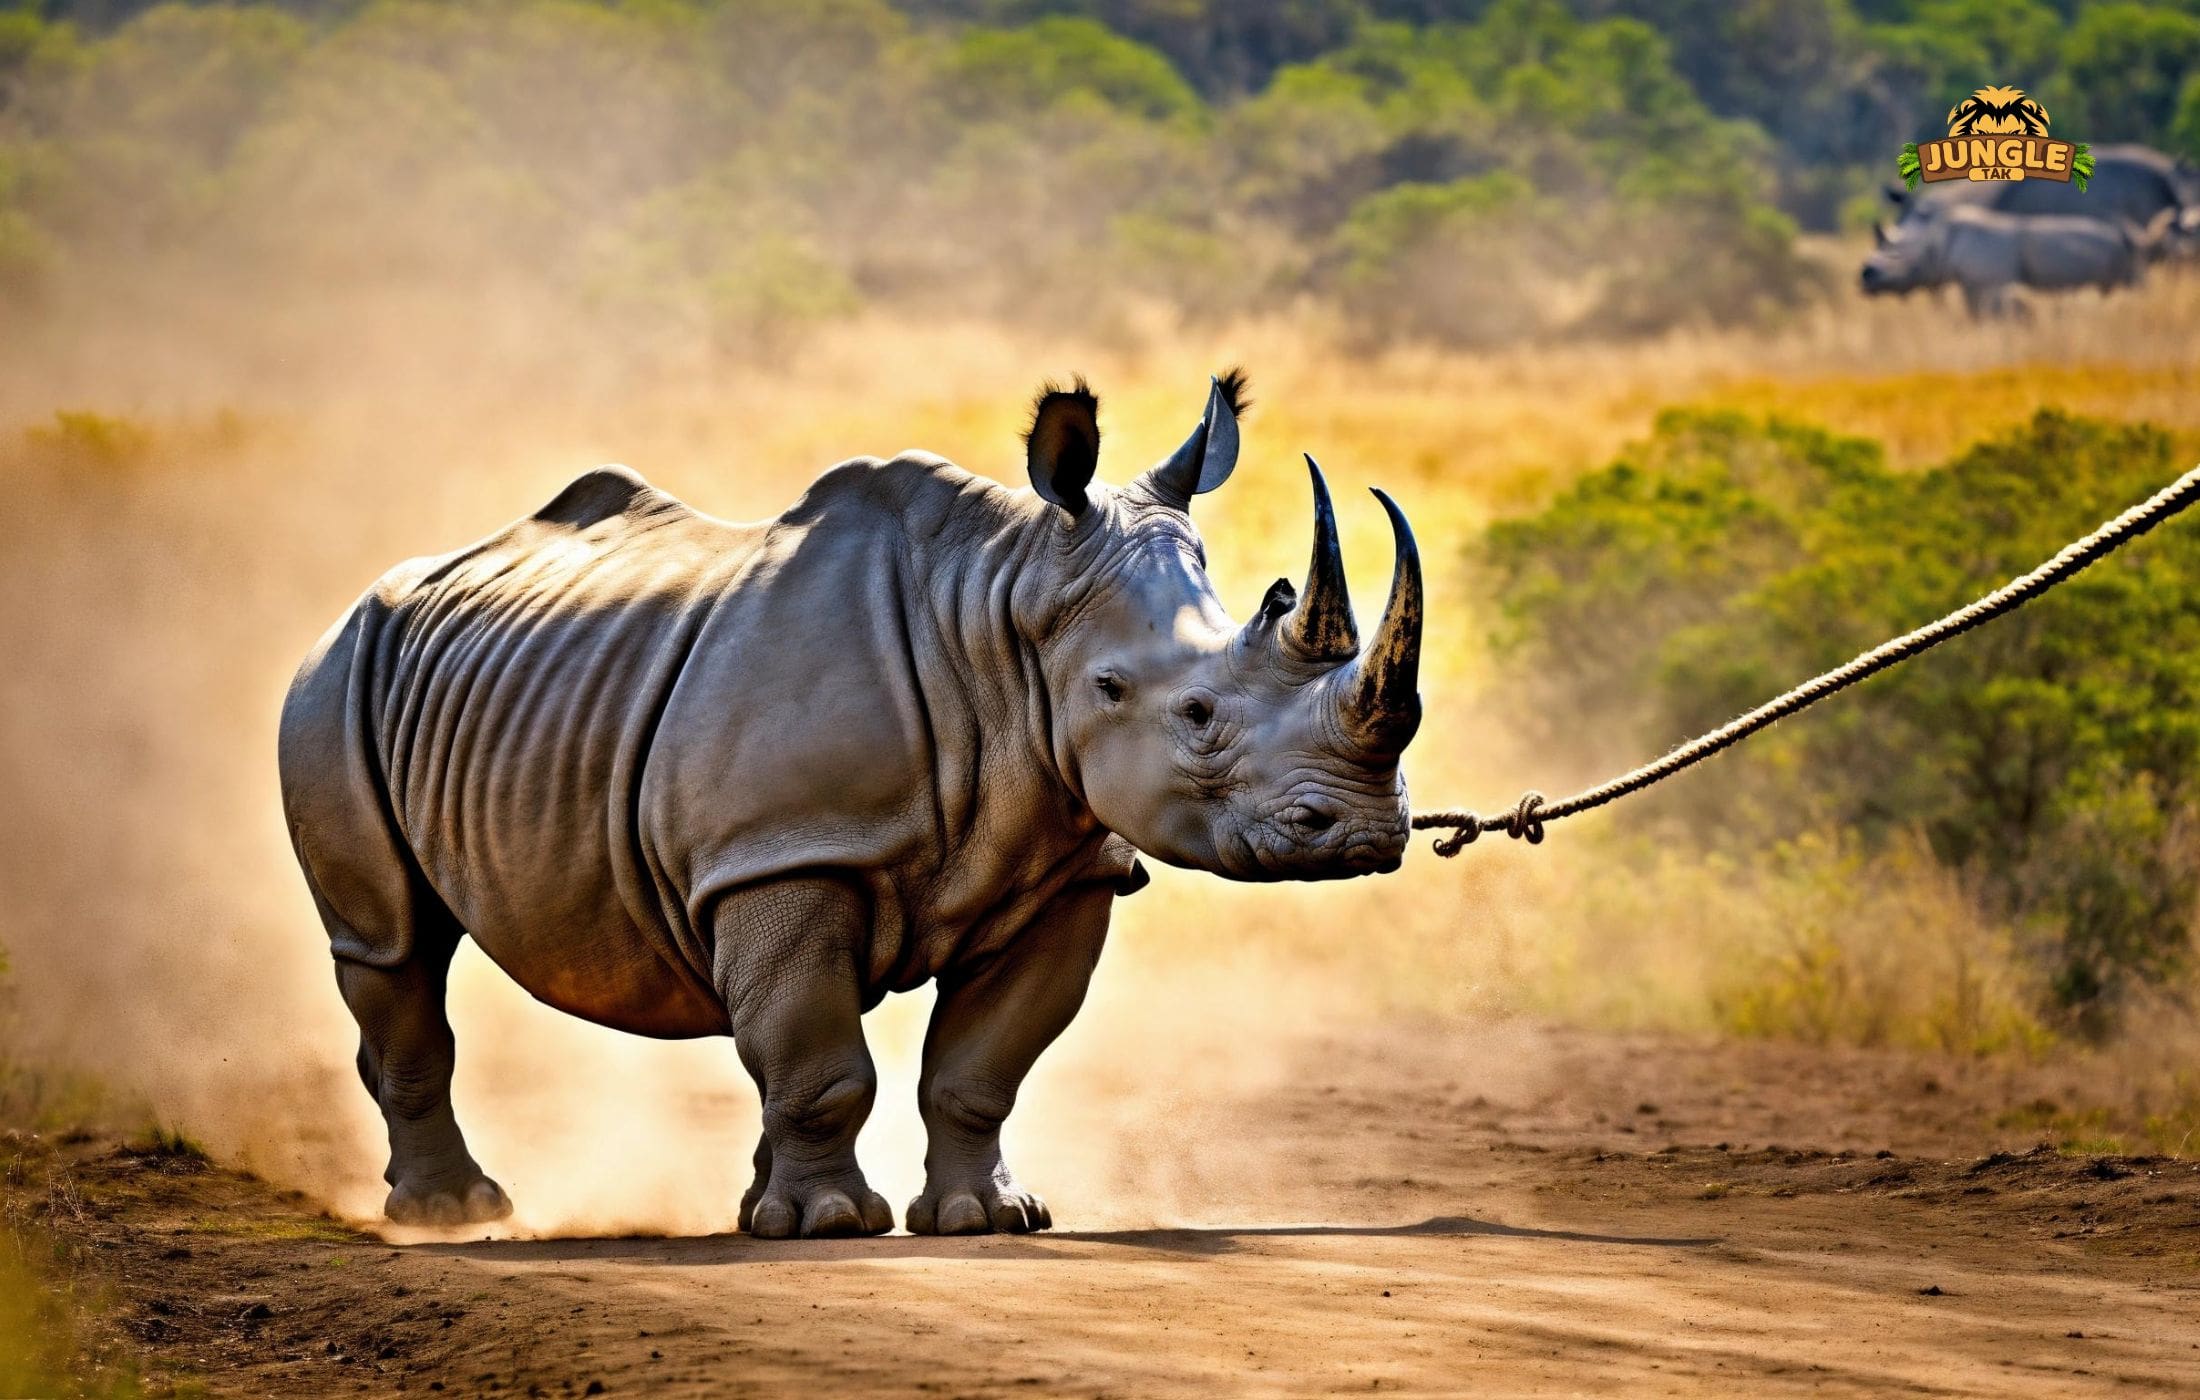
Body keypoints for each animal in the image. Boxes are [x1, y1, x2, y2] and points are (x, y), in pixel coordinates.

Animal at [278, 373, 1425, 1234]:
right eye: (1189, 710)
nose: (1367, 830)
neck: (1005, 616)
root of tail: (365, 603)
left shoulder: (1066, 869)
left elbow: (979, 1064)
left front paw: (987, 1219)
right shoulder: (784, 854)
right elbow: (823, 1059)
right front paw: (830, 1224)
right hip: (334, 678)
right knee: (392, 943)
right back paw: (454, 1214)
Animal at [1860, 206, 2156, 316]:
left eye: (1896, 256)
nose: (1865, 275)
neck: (1936, 239)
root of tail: (2130, 236)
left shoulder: (1989, 282)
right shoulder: (1974, 284)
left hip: (2124, 257)